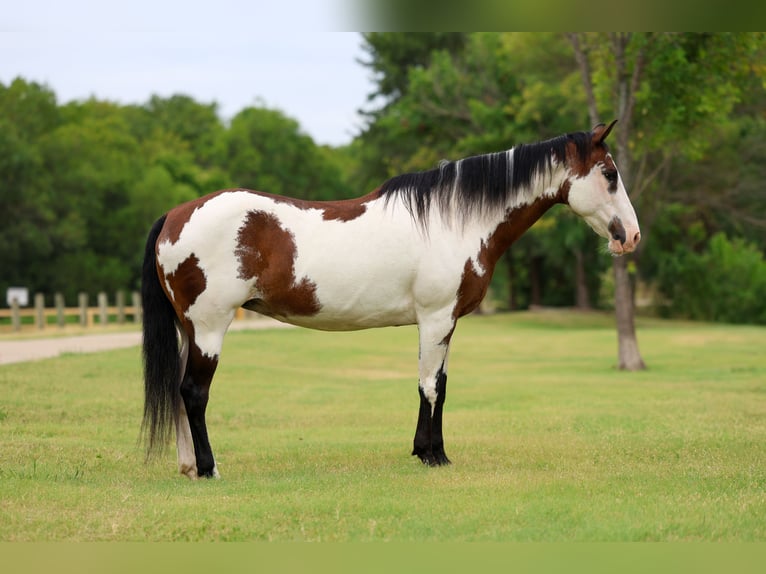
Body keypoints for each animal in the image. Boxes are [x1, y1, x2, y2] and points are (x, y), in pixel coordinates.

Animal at [141, 121, 640, 479]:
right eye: (610, 174)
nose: (631, 237)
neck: (452, 220)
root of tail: (175, 214)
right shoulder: (436, 318)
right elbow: (430, 386)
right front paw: (432, 456)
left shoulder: (444, 322)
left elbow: (440, 384)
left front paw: (431, 452)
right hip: (209, 327)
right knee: (194, 392)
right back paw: (208, 468)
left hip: (190, 329)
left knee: (181, 393)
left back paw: (188, 467)